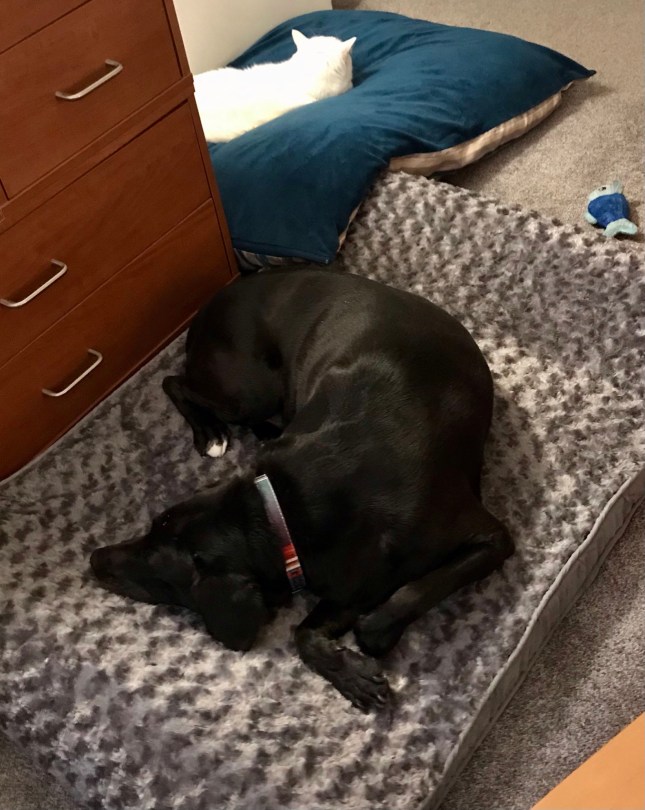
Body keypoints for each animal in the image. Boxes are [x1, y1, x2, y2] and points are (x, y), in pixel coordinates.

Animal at [90, 268, 513, 711]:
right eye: (151, 527)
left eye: (156, 567)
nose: (94, 558)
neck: (284, 511)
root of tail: (215, 300)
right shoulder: (346, 584)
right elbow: (305, 634)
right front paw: (352, 675)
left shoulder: (491, 537)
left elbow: (415, 591)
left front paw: (373, 637)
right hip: (249, 391)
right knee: (175, 381)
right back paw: (214, 431)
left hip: (251, 393)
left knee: (175, 382)